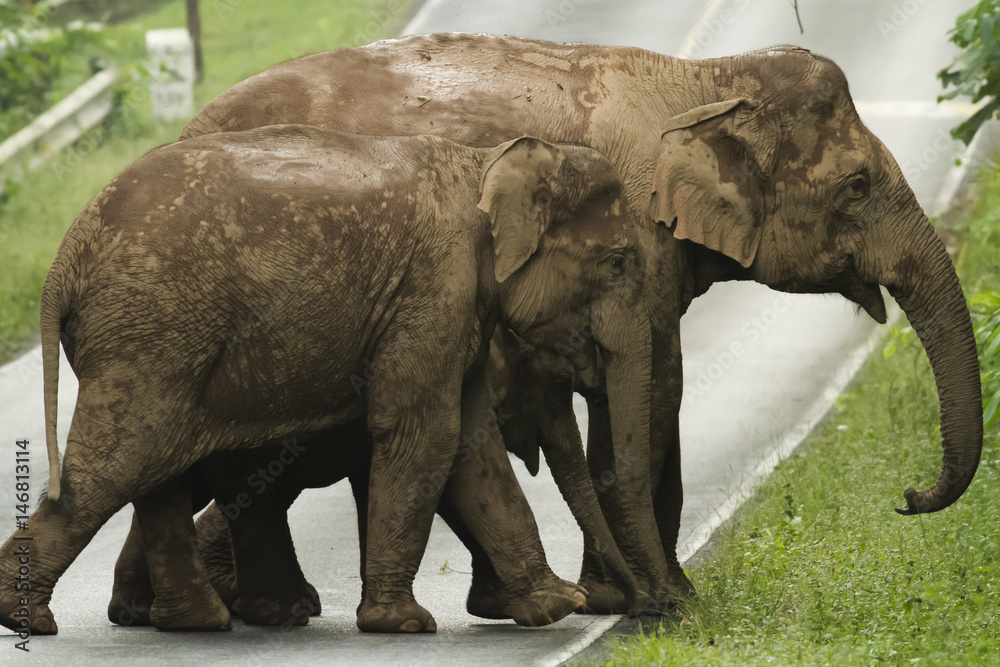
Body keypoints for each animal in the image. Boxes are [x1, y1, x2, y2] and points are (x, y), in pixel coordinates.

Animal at [178, 33, 983, 611]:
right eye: (857, 186)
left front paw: (643, 594)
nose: (908, 498)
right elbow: (655, 384)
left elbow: (652, 387)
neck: (709, 80)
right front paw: (651, 601)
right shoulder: (641, 237)